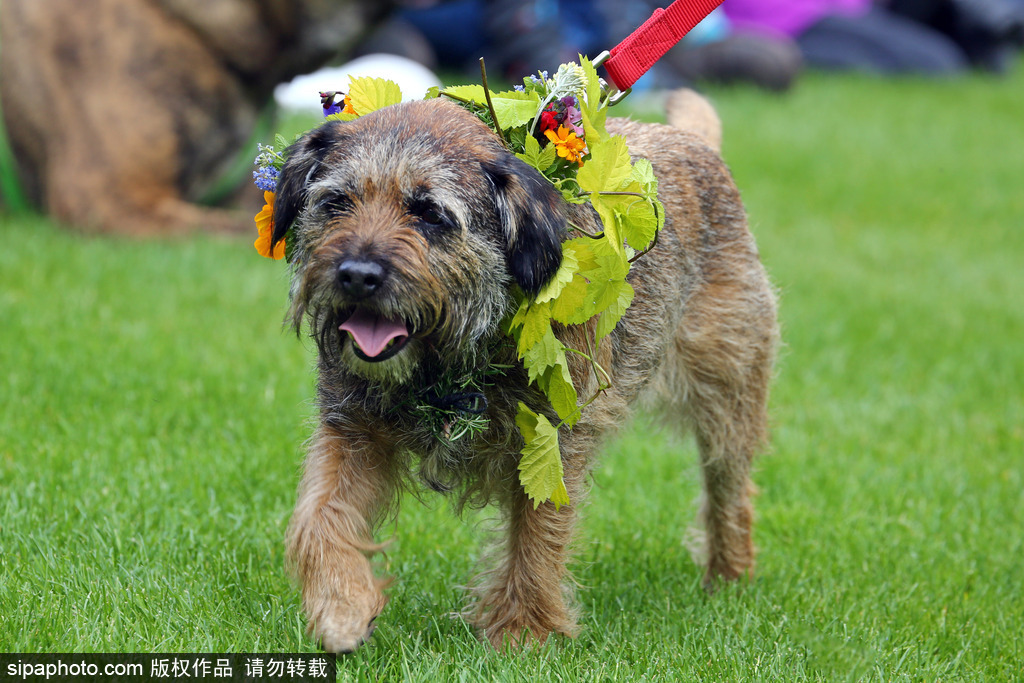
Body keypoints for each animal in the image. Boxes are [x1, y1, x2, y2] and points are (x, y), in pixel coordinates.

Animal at [272, 92, 774, 651]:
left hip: (729, 392)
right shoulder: (351, 430)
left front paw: (523, 633)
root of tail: (693, 142)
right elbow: (319, 515)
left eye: (429, 214)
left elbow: (537, 536)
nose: (357, 275)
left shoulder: (550, 444)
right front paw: (341, 605)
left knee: (729, 489)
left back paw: (729, 577)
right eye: (336, 202)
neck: (448, 361)